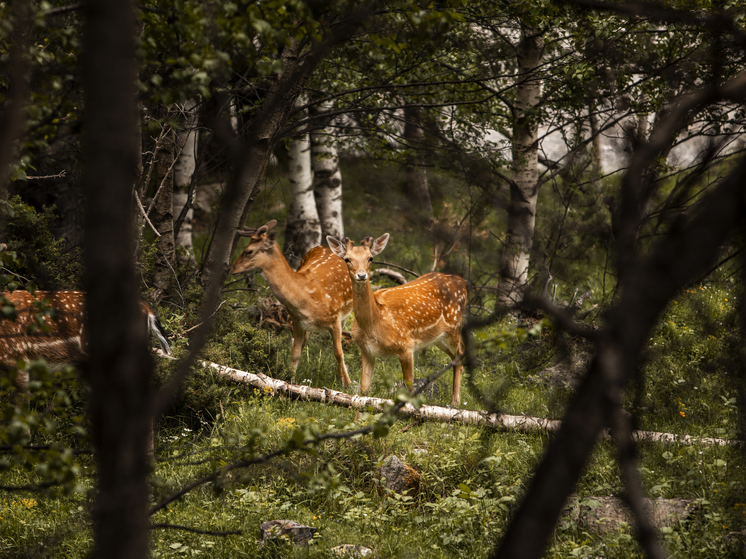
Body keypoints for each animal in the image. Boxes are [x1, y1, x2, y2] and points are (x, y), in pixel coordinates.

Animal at [228, 221, 354, 388]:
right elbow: (295, 353)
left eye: (249, 251)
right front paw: (290, 382)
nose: (231, 268)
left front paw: (348, 385)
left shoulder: (335, 318)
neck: (307, 297)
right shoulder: (297, 321)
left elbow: (339, 353)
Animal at [326, 233, 464, 406]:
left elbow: (409, 389)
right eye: (347, 259)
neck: (375, 323)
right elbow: (364, 392)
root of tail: (462, 283)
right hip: (438, 337)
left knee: (461, 353)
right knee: (454, 356)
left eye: (370, 258)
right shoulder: (367, 350)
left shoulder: (406, 345)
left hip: (454, 326)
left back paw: (455, 402)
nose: (362, 275)